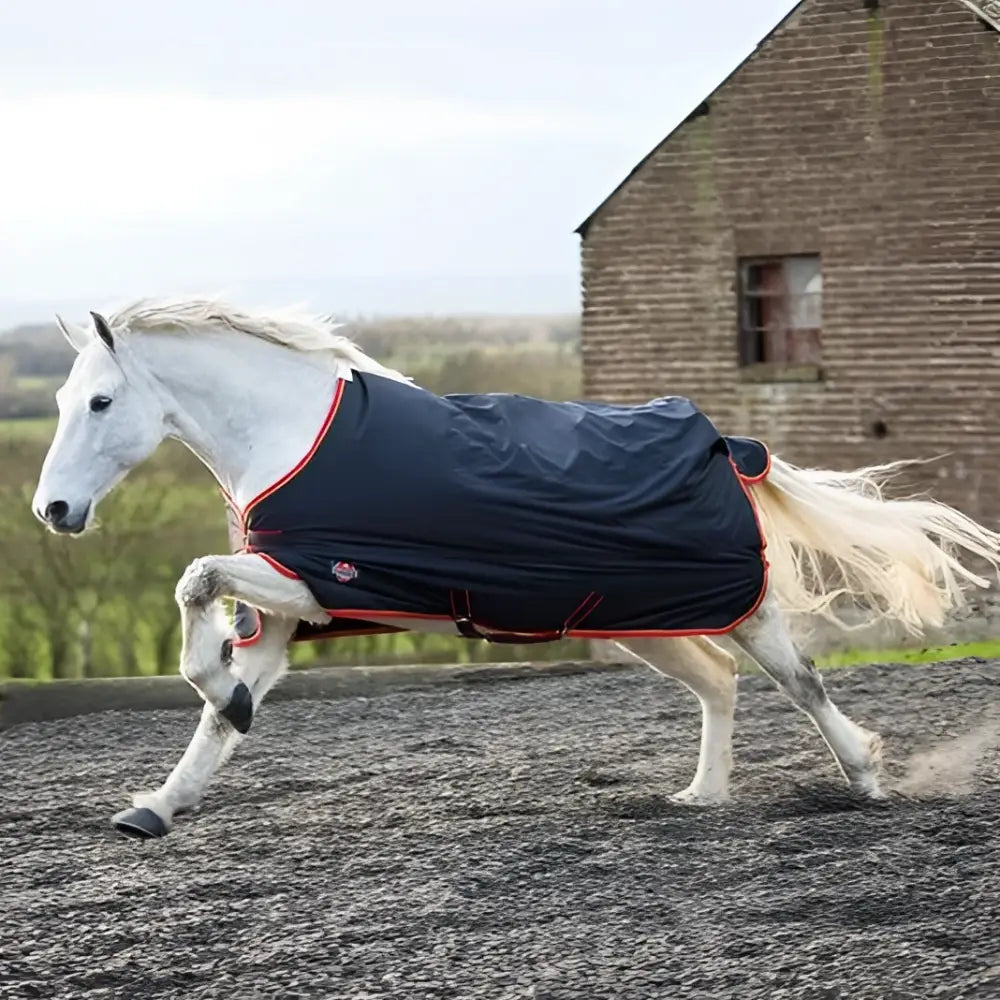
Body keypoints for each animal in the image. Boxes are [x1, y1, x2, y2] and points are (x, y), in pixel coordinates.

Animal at [31, 298, 1000, 839]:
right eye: (61, 398)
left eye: (102, 401)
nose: (54, 512)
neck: (295, 434)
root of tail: (726, 445)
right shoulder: (290, 610)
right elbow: (219, 714)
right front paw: (158, 804)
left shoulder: (318, 579)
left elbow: (196, 582)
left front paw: (214, 697)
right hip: (643, 619)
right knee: (719, 683)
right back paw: (702, 796)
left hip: (735, 606)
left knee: (798, 681)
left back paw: (867, 774)